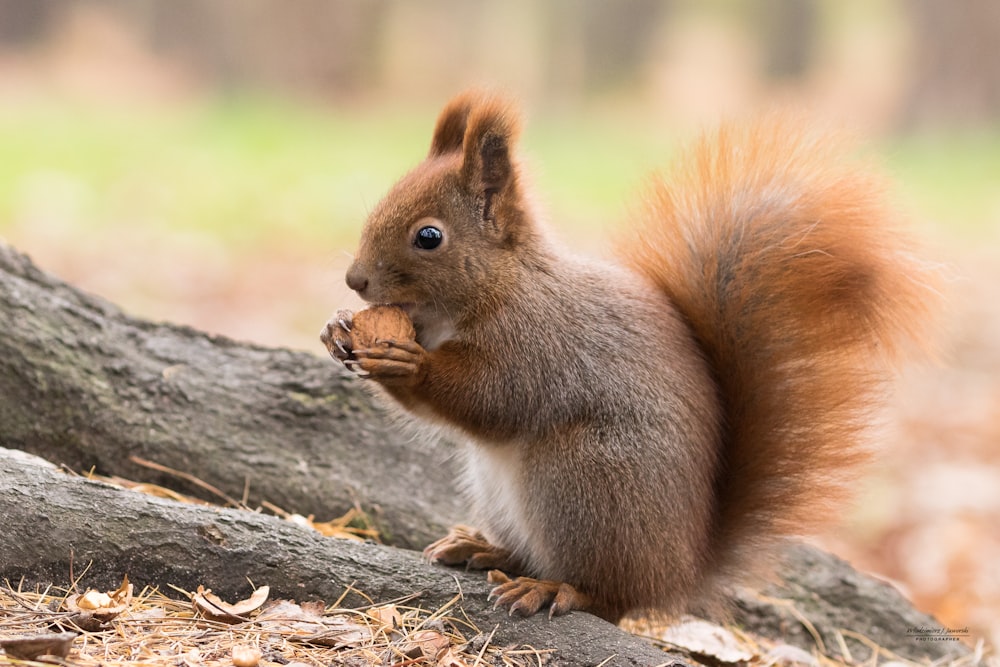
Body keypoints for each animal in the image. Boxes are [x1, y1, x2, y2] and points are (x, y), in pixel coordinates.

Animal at [320, 91, 936, 624]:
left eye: (429, 236)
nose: (354, 281)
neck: (499, 286)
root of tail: (678, 575)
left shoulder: (538, 344)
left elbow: (492, 398)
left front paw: (408, 363)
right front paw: (335, 331)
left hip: (584, 481)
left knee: (609, 596)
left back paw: (553, 588)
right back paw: (487, 550)